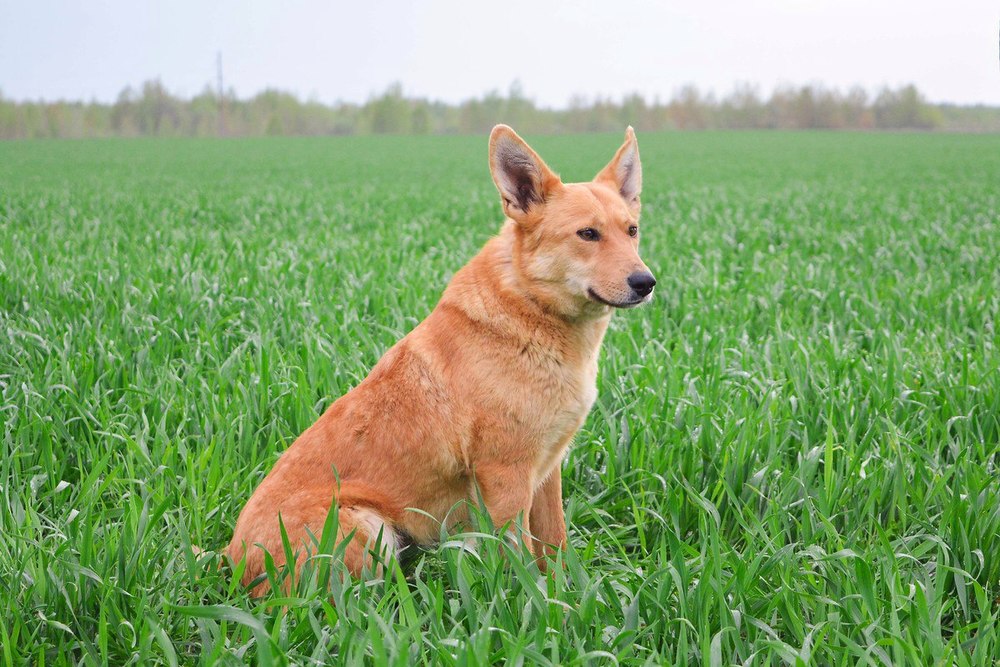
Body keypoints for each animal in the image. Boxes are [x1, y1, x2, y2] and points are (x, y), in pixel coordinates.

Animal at [230, 125, 660, 596]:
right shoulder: (506, 475)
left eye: (632, 230)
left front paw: (569, 592)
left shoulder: (547, 471)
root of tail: (232, 564)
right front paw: (536, 601)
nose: (646, 282)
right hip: (368, 529)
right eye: (587, 234)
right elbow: (521, 558)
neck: (533, 309)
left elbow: (555, 543)